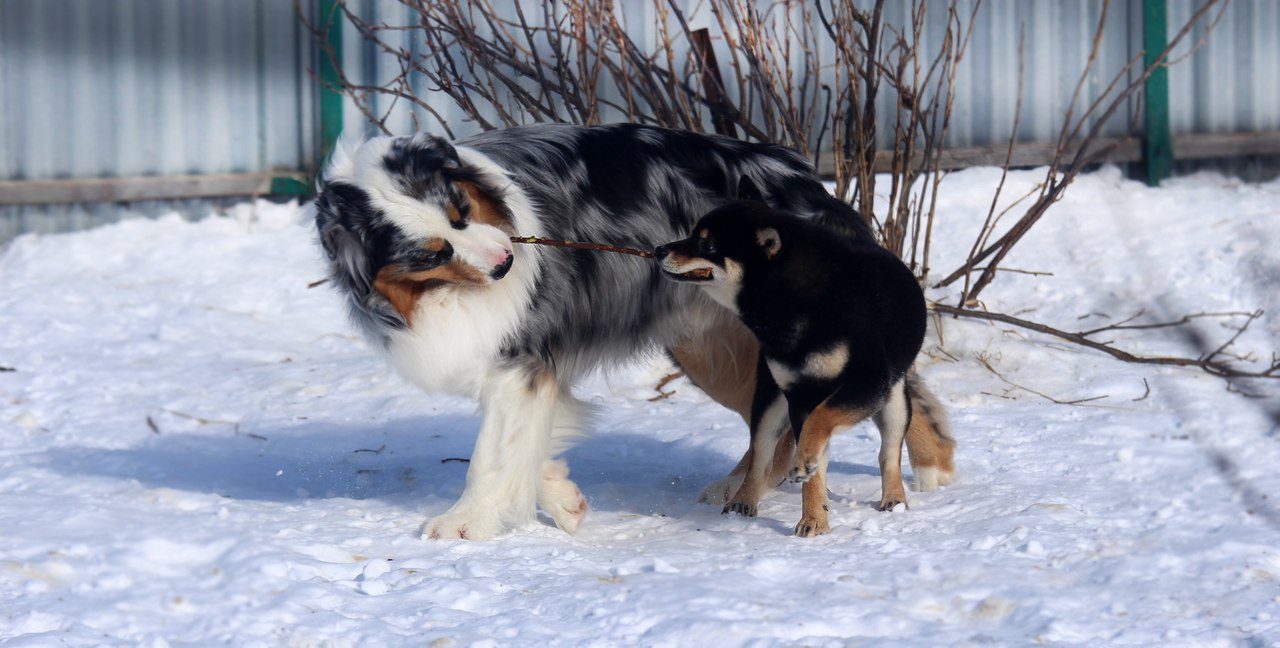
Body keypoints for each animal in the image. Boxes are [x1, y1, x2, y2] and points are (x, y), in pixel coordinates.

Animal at [660, 186, 952, 537]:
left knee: (889, 453)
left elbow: (821, 424)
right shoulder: (799, 396)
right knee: (761, 455)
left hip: (893, 400)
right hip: (769, 401)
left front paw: (812, 503)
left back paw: (893, 498)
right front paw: (814, 518)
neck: (799, 298)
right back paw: (743, 500)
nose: (659, 249)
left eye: (708, 244)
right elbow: (810, 459)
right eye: (693, 234)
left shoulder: (864, 383)